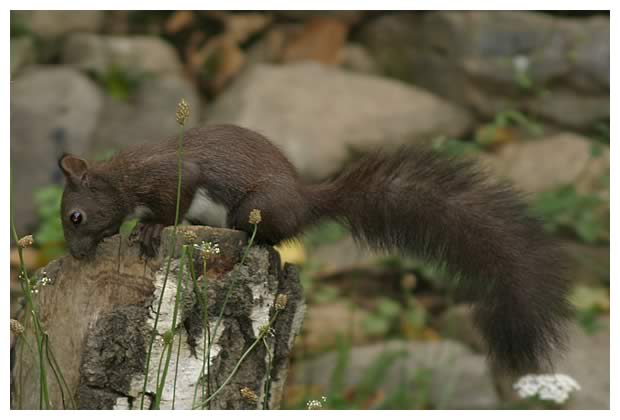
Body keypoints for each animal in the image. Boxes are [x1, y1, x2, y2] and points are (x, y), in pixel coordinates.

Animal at [58, 123, 572, 372]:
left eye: (75, 216)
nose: (76, 256)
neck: (124, 178)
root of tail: (306, 200)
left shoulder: (174, 177)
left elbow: (171, 208)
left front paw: (149, 228)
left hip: (255, 207)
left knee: (268, 238)